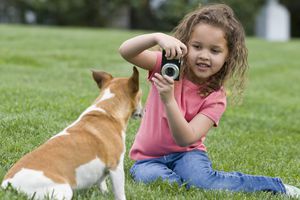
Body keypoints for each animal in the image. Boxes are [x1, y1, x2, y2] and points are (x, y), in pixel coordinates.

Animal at [0, 66, 143, 199]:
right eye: (141, 96)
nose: (144, 110)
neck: (107, 110)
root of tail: (8, 184)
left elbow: (102, 183)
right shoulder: (116, 167)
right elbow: (120, 193)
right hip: (63, 191)